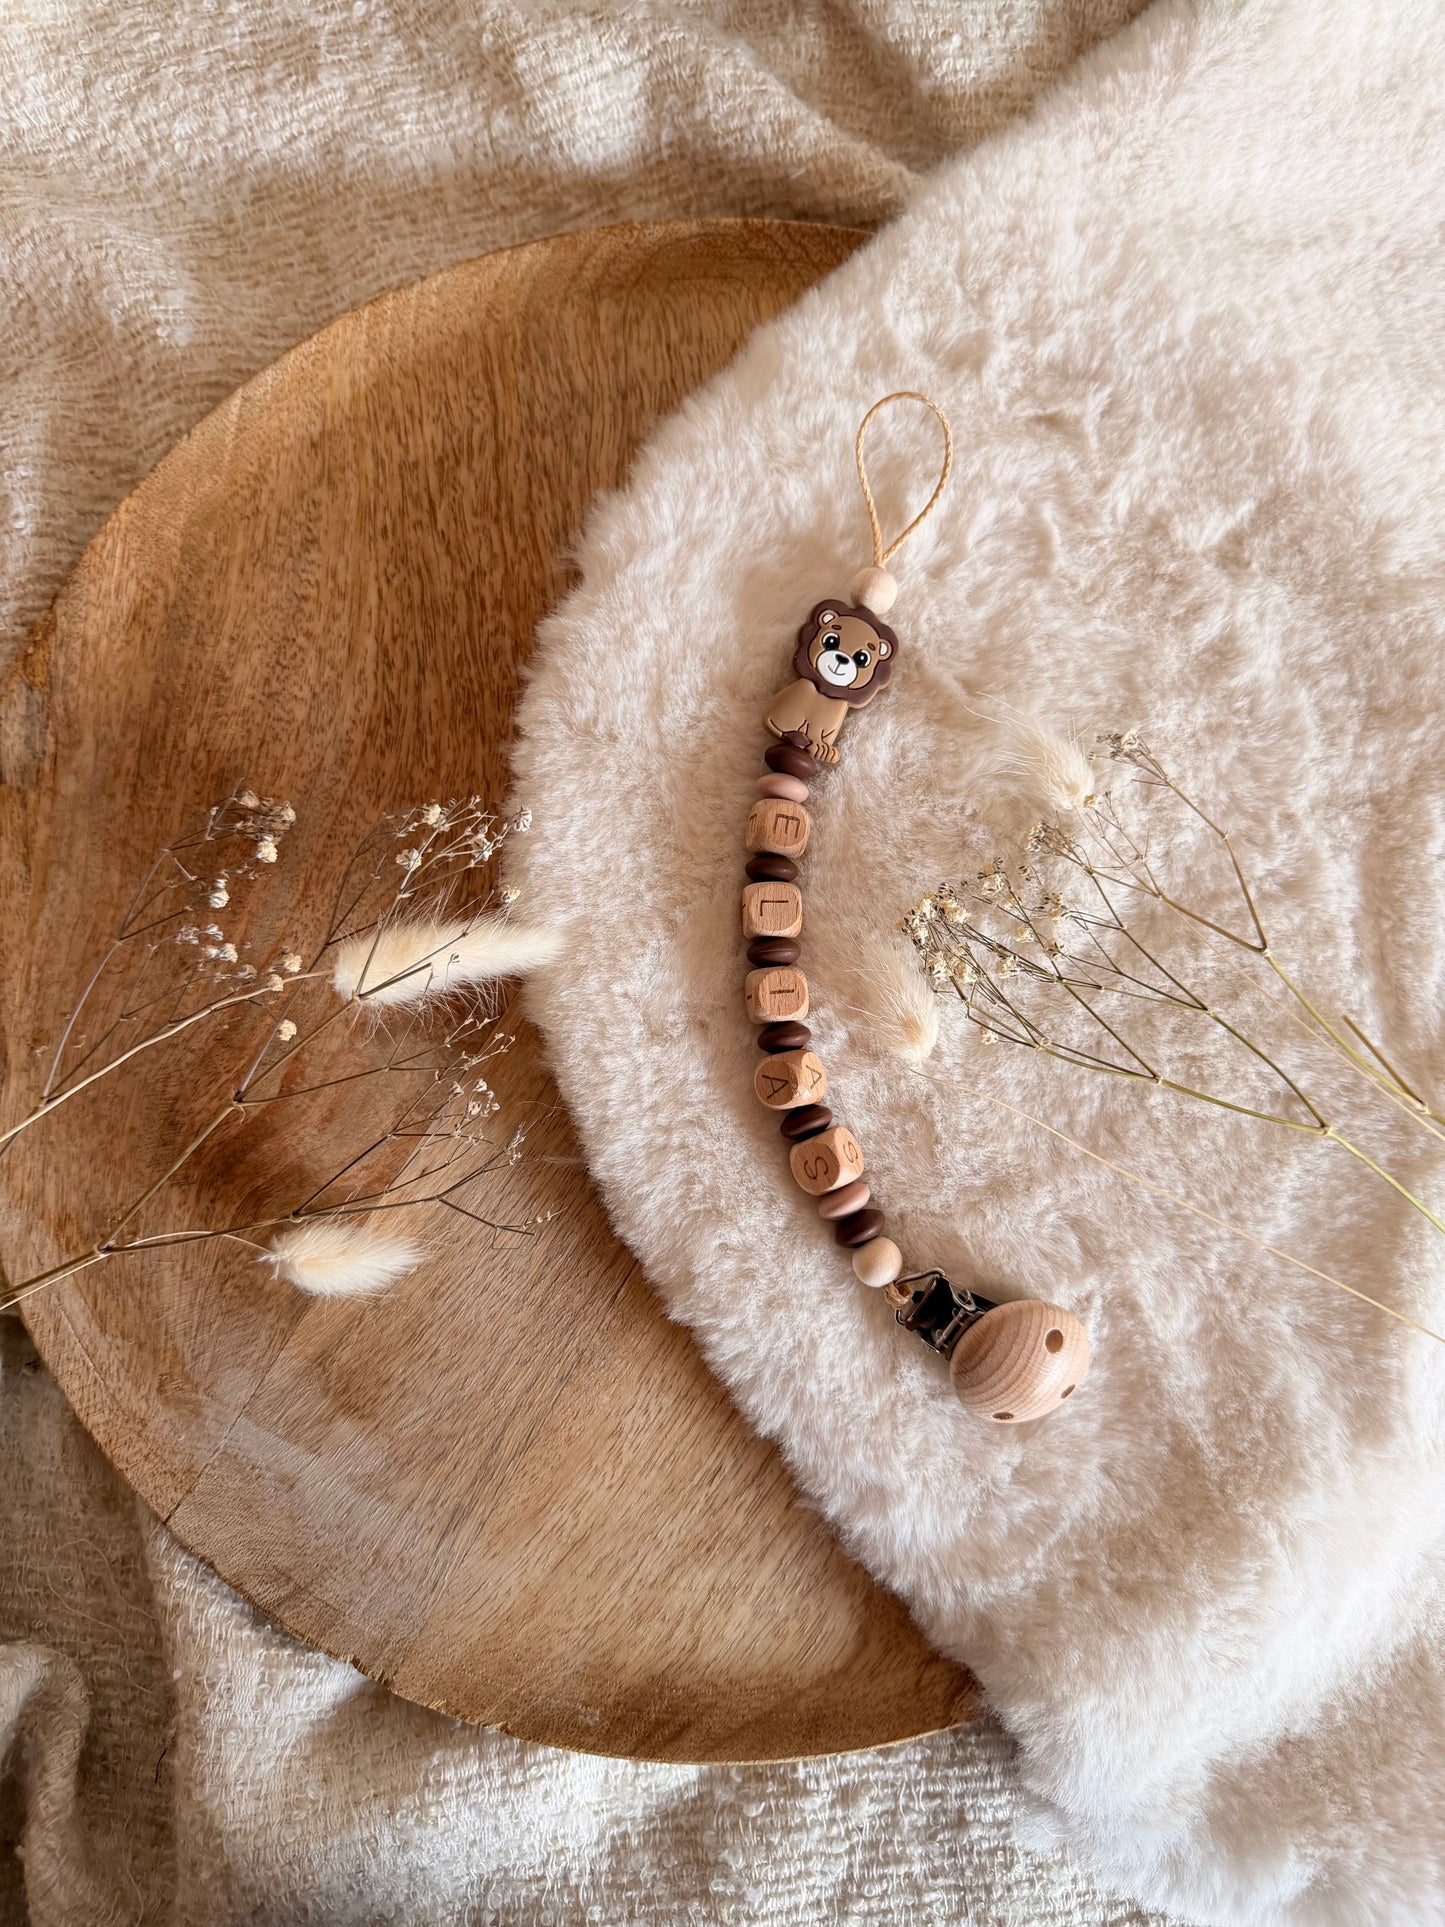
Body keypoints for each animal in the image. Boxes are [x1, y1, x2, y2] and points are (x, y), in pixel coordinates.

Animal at [762, 601, 897, 767]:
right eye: (830, 641)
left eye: (862, 658)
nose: (842, 659)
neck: (827, 694)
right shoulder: (814, 719)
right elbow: (814, 732)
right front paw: (819, 746)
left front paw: (826, 750)